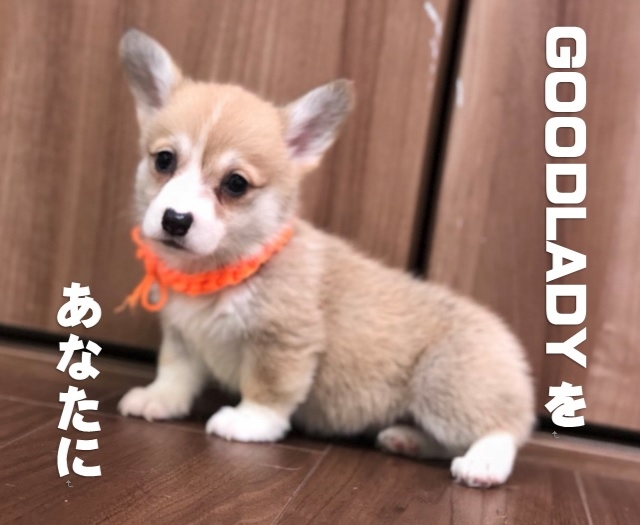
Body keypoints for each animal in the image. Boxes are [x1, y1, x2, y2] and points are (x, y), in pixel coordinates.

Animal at [117, 29, 534, 488]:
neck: (220, 270)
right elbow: (174, 372)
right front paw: (158, 400)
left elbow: (268, 390)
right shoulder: (182, 336)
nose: (175, 220)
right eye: (164, 160)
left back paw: (484, 465)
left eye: (236, 184)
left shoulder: (284, 343)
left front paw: (247, 423)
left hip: (442, 384)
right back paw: (406, 439)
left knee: (500, 429)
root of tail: (508, 343)